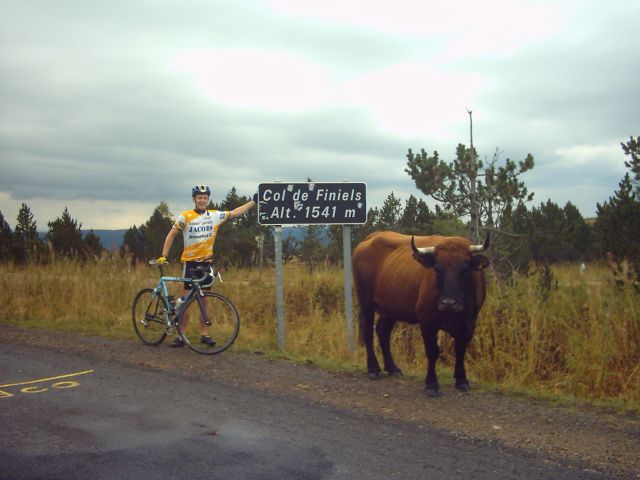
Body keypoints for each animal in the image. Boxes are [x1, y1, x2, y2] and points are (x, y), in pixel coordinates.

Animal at [350, 231, 490, 396]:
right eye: (437, 270)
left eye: (465, 271)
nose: (448, 303)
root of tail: (372, 237)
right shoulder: (427, 320)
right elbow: (432, 351)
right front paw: (432, 384)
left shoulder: (470, 322)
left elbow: (460, 349)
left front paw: (462, 380)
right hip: (366, 302)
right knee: (368, 331)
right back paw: (373, 369)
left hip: (390, 308)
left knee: (383, 332)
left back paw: (393, 368)